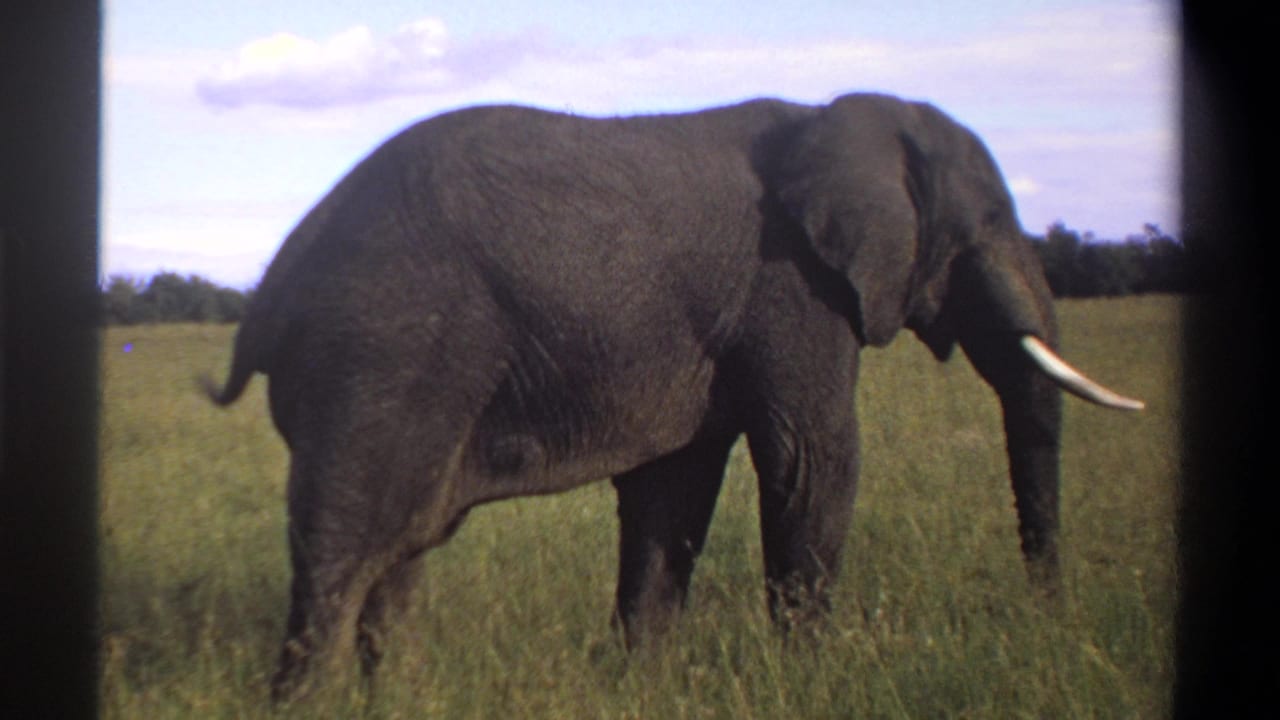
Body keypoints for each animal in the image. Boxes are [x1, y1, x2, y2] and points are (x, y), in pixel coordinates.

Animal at [206, 92, 1142, 701]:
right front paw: (816, 680)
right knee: (346, 549)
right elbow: (812, 460)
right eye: (991, 222)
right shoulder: (792, 286)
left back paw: (397, 698)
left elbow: (675, 490)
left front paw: (642, 682)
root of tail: (276, 280)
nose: (1050, 617)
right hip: (380, 351)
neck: (840, 118)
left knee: (398, 551)